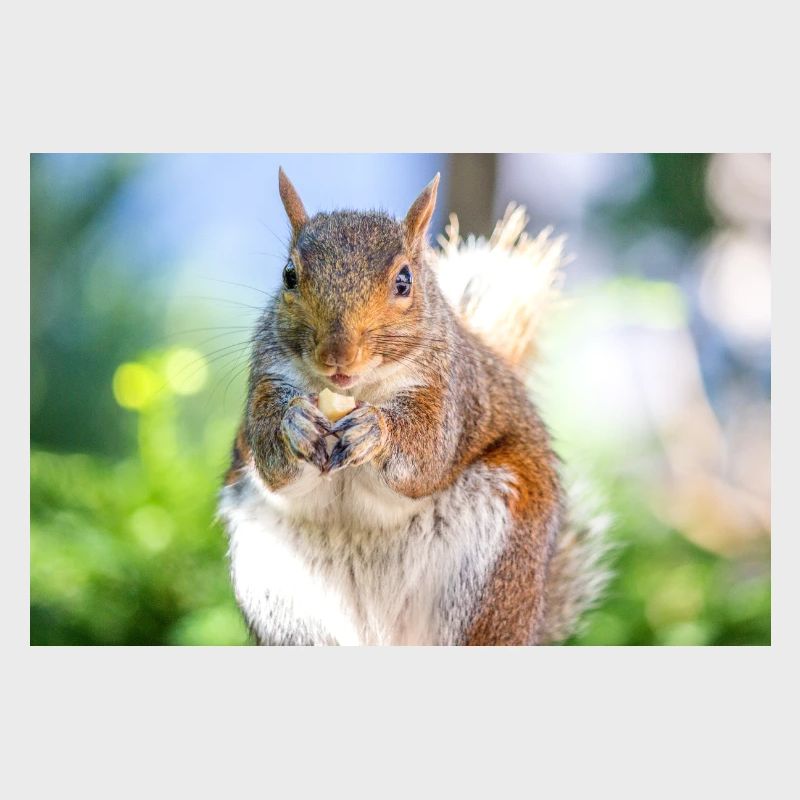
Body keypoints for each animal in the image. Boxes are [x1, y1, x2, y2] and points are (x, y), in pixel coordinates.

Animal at [218, 168, 610, 645]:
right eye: (289, 275)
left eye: (404, 281)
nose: (337, 356)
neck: (360, 390)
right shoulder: (268, 378)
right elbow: (272, 459)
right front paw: (295, 424)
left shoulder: (449, 393)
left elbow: (425, 456)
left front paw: (375, 430)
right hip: (283, 600)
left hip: (494, 576)